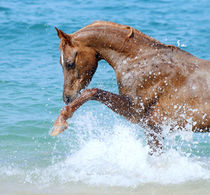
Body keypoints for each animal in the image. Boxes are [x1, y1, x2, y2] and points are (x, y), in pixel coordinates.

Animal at [51, 21, 210, 155]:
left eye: (70, 63)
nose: (67, 97)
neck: (139, 60)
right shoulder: (152, 128)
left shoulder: (135, 110)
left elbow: (92, 92)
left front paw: (60, 123)